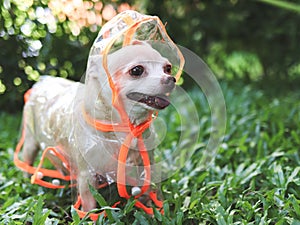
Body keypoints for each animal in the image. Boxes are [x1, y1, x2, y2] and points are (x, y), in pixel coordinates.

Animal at [21, 41, 176, 212]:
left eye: (168, 68)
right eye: (137, 70)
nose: (171, 78)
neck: (124, 127)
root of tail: (42, 83)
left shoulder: (145, 163)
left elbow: (147, 188)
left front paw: (149, 206)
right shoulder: (86, 175)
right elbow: (89, 204)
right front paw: (88, 215)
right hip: (30, 142)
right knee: (28, 159)